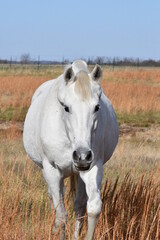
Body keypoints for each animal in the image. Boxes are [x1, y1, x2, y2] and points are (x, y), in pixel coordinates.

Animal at [23, 60, 119, 240]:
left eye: (97, 107)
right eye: (66, 107)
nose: (82, 156)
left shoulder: (93, 166)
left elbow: (92, 208)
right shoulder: (52, 170)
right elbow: (61, 216)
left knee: (78, 205)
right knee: (54, 201)